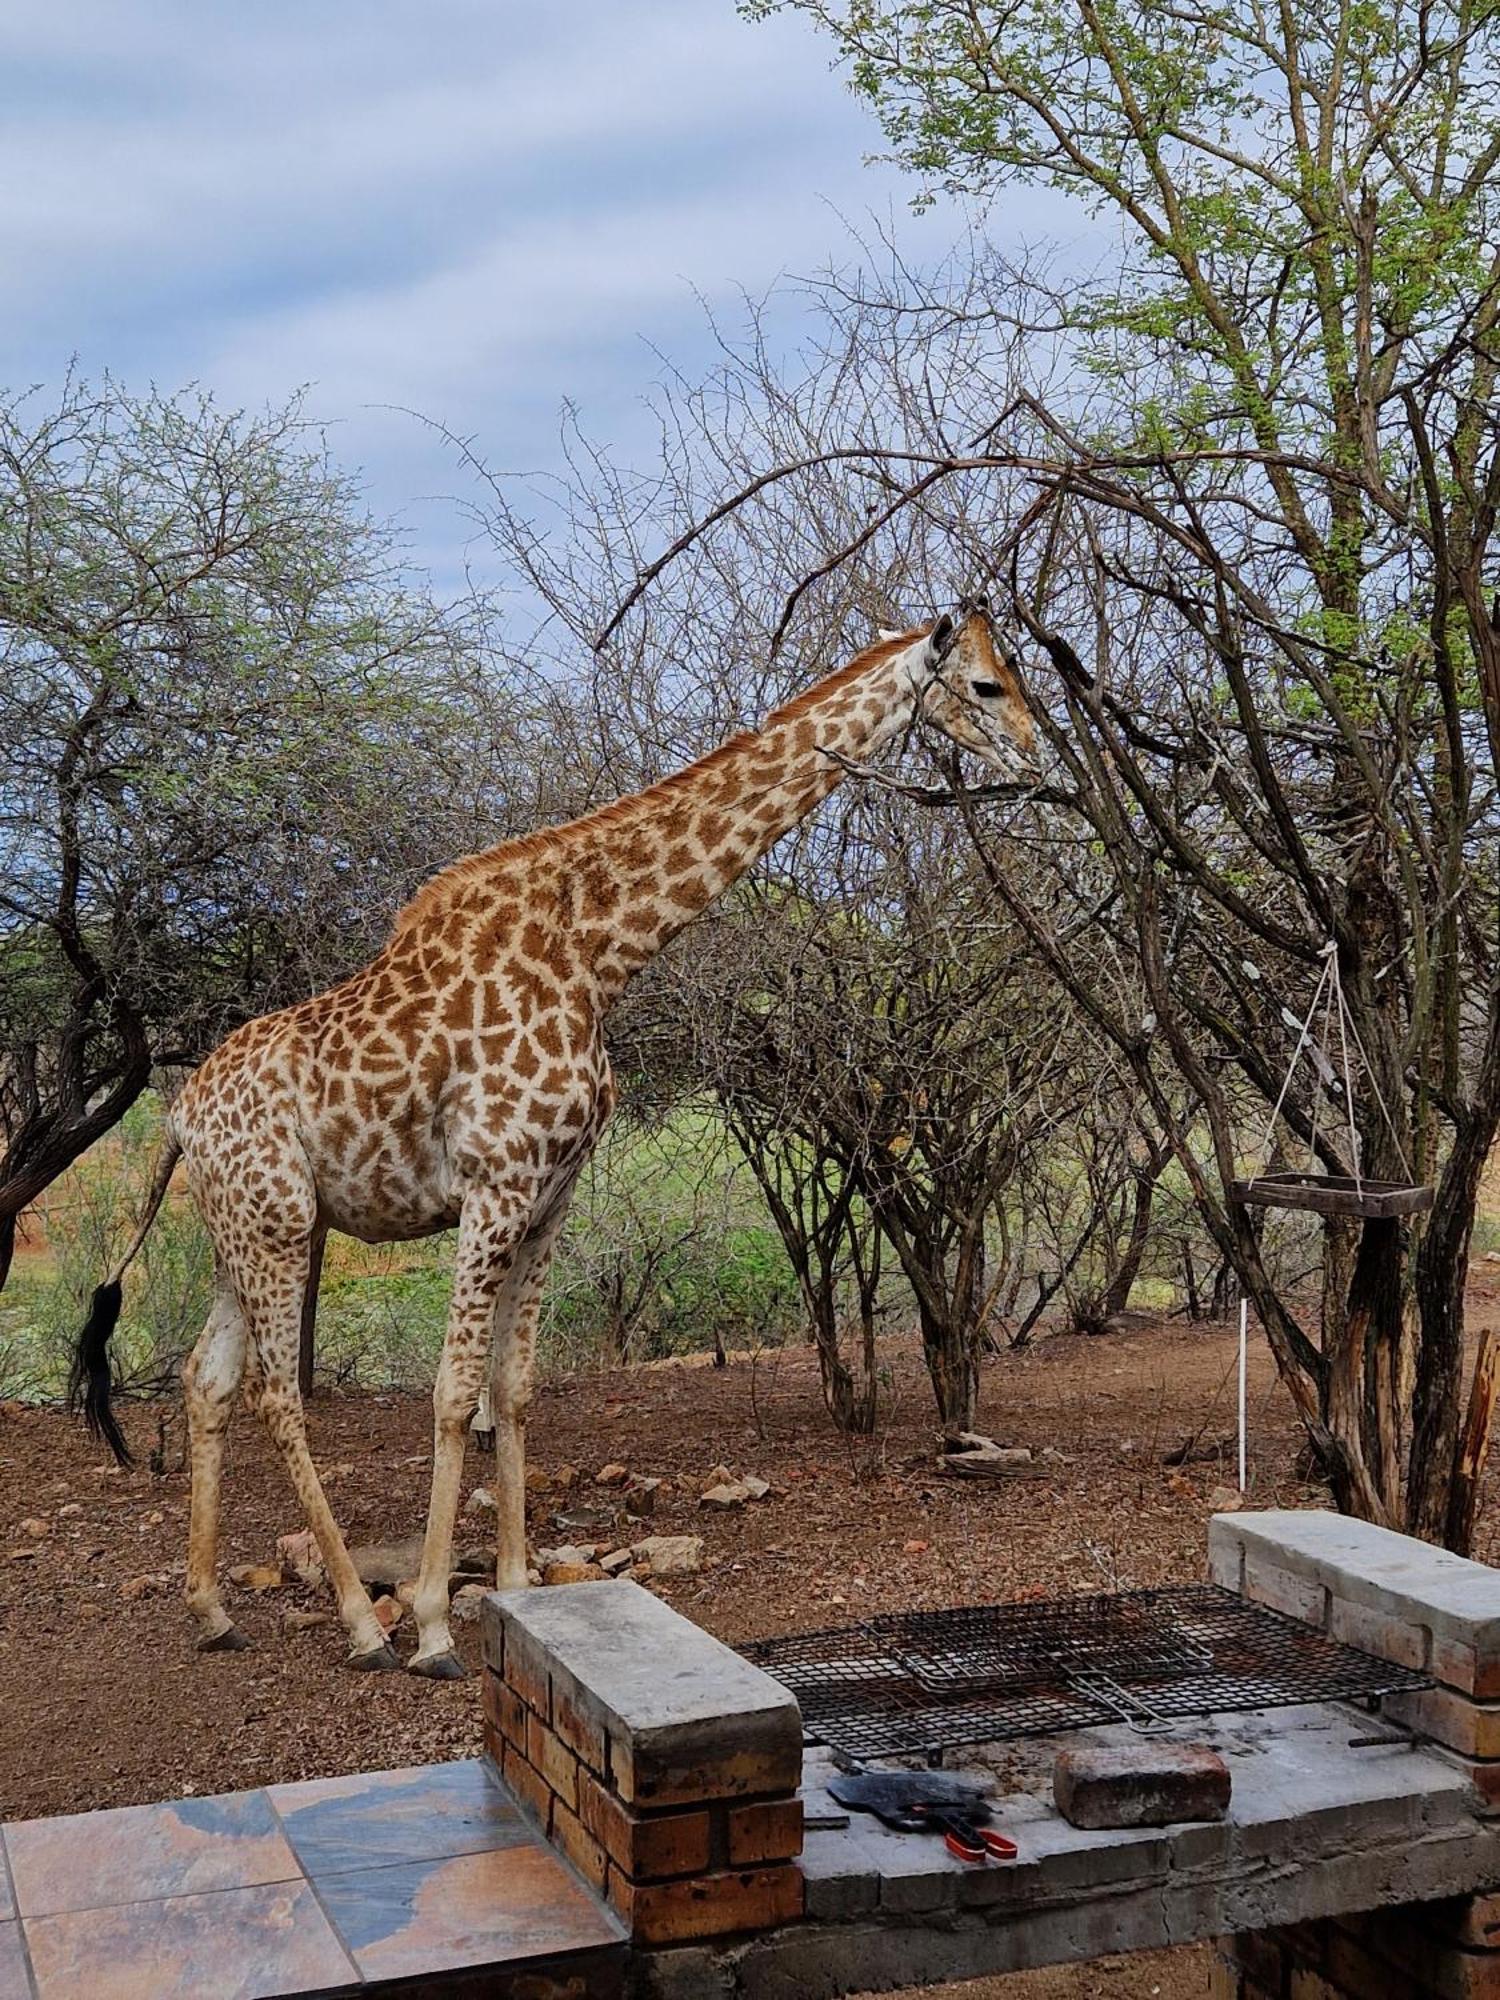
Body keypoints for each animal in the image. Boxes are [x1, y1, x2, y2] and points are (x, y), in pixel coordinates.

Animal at [70, 600, 1032, 1680]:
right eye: (987, 683)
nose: (1037, 756)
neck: (597, 954)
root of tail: (180, 1114)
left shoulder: (551, 1193)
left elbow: (515, 1388)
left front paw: (520, 1586)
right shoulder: (494, 1182)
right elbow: (454, 1394)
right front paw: (435, 1624)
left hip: (249, 1226)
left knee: (209, 1381)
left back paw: (211, 1610)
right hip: (276, 1225)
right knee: (279, 1393)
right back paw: (363, 1621)